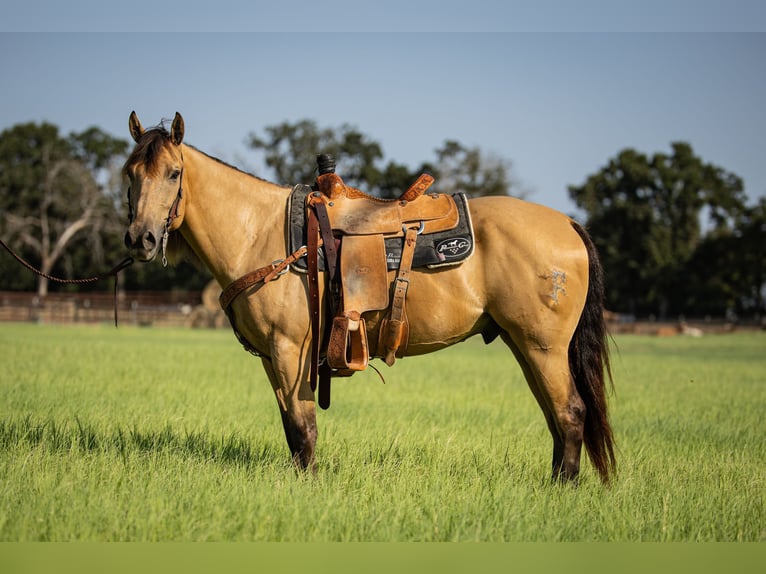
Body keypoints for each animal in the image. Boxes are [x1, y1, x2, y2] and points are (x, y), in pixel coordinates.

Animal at [123, 111, 615, 483]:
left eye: (174, 173)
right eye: (130, 174)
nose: (140, 239)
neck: (260, 233)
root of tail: (568, 224)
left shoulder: (290, 351)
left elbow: (303, 428)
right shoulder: (271, 356)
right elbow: (291, 428)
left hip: (542, 346)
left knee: (570, 413)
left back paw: (563, 489)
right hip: (525, 345)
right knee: (555, 416)